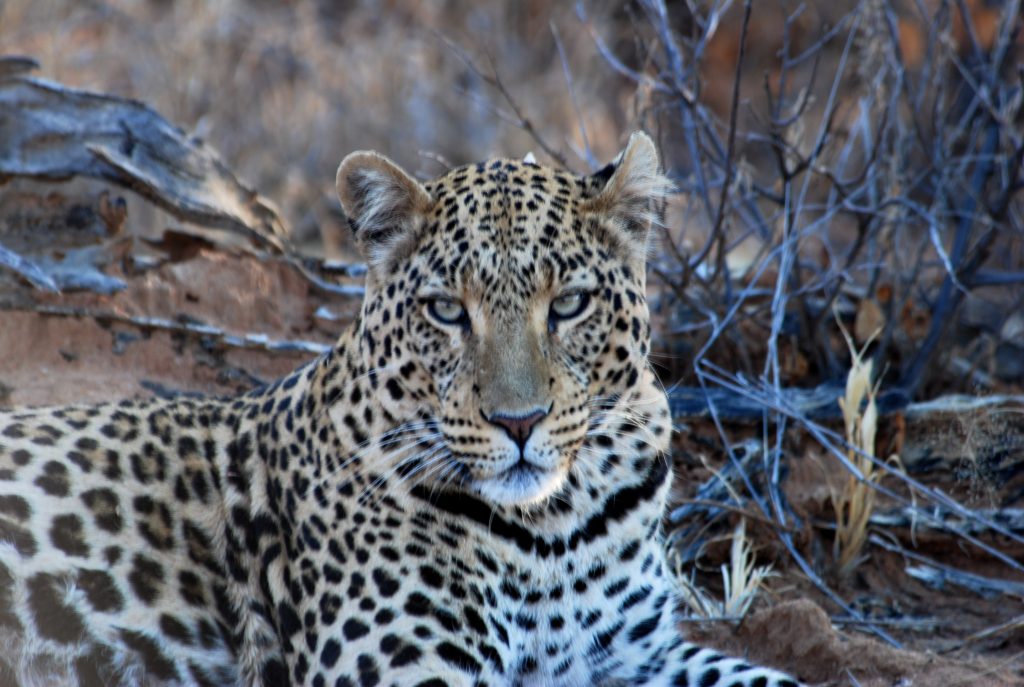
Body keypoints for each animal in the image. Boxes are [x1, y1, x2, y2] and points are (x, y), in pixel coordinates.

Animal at [0, 132, 802, 686]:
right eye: (447, 311)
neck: (554, 529)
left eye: (570, 304)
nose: (518, 423)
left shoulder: (639, 654)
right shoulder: (407, 671)